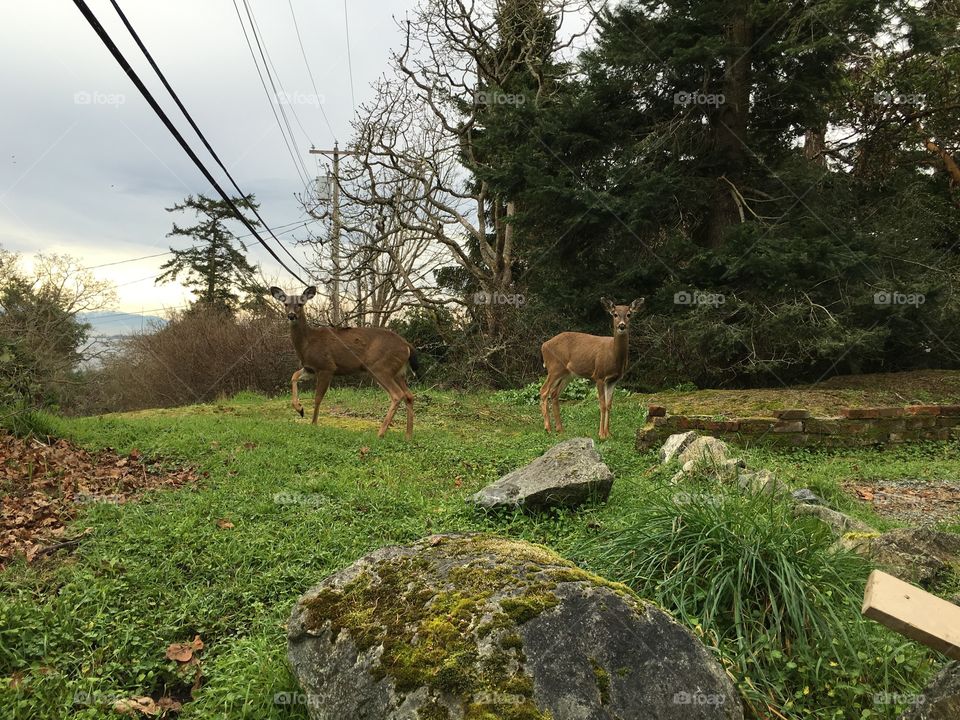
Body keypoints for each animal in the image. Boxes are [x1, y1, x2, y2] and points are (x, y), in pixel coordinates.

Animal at [272, 286, 418, 438]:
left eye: (300, 304)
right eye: (285, 304)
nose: (291, 315)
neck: (307, 343)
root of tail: (407, 346)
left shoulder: (326, 366)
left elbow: (318, 397)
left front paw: (313, 423)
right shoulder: (310, 368)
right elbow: (294, 376)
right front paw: (300, 409)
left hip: (380, 367)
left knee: (397, 394)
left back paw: (380, 433)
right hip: (398, 372)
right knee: (409, 395)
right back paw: (408, 435)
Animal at [540, 296, 644, 438]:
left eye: (629, 314)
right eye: (615, 314)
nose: (622, 325)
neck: (613, 355)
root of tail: (543, 346)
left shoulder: (613, 380)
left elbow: (609, 404)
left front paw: (609, 433)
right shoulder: (599, 375)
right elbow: (602, 404)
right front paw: (601, 434)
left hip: (567, 374)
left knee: (554, 393)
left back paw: (560, 429)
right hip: (554, 368)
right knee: (544, 391)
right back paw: (548, 428)